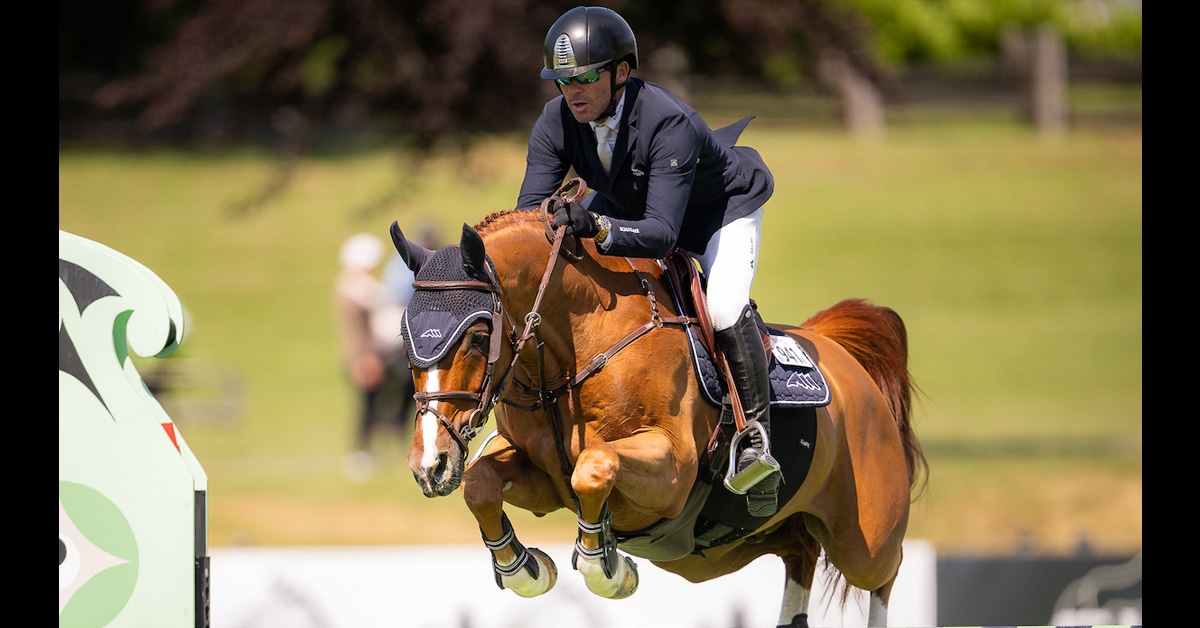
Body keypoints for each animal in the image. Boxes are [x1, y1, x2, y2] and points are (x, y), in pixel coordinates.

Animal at [388, 196, 927, 627]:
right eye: (403, 335)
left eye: (480, 337)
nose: (430, 464)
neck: (573, 352)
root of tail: (838, 352)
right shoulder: (544, 481)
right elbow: (481, 482)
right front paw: (527, 569)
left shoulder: (672, 472)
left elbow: (595, 466)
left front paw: (608, 569)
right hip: (746, 544)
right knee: (801, 553)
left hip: (865, 539)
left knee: (884, 572)